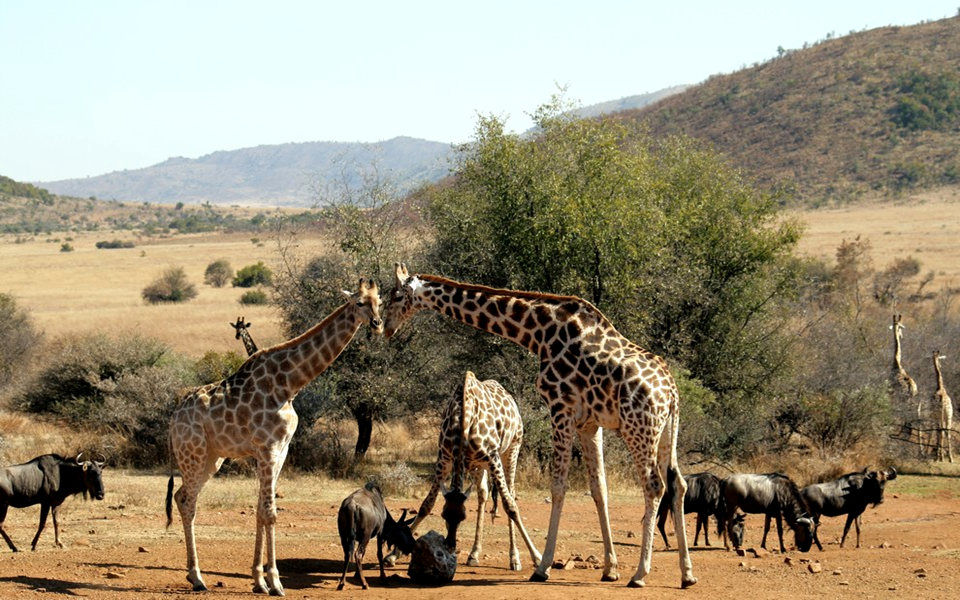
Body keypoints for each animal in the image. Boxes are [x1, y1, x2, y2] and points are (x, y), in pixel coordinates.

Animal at [167, 278, 380, 596]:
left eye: (380, 301)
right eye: (359, 302)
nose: (378, 323)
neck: (289, 384)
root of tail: (173, 418)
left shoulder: (281, 450)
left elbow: (259, 511)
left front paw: (259, 580)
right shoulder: (267, 449)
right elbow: (270, 513)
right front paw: (276, 583)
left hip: (212, 458)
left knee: (181, 497)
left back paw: (196, 576)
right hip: (192, 453)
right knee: (187, 501)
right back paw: (197, 577)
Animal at [388, 370, 540, 572]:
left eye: (463, 517)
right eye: (444, 515)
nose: (451, 544)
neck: (463, 421)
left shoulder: (493, 457)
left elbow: (510, 507)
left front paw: (536, 558)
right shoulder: (444, 459)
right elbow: (426, 505)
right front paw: (393, 555)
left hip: (512, 448)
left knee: (511, 493)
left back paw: (514, 558)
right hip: (478, 464)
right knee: (483, 494)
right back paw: (474, 554)